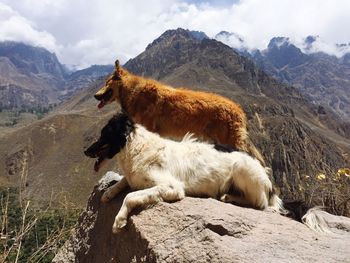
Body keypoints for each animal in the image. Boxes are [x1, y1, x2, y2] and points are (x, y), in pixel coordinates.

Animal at [84, 112, 328, 234]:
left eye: (104, 134)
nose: (85, 150)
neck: (136, 147)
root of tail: (271, 187)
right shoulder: (135, 177)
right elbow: (124, 182)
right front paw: (108, 193)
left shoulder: (172, 187)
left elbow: (131, 195)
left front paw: (119, 221)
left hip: (242, 168)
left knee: (261, 205)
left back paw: (230, 197)